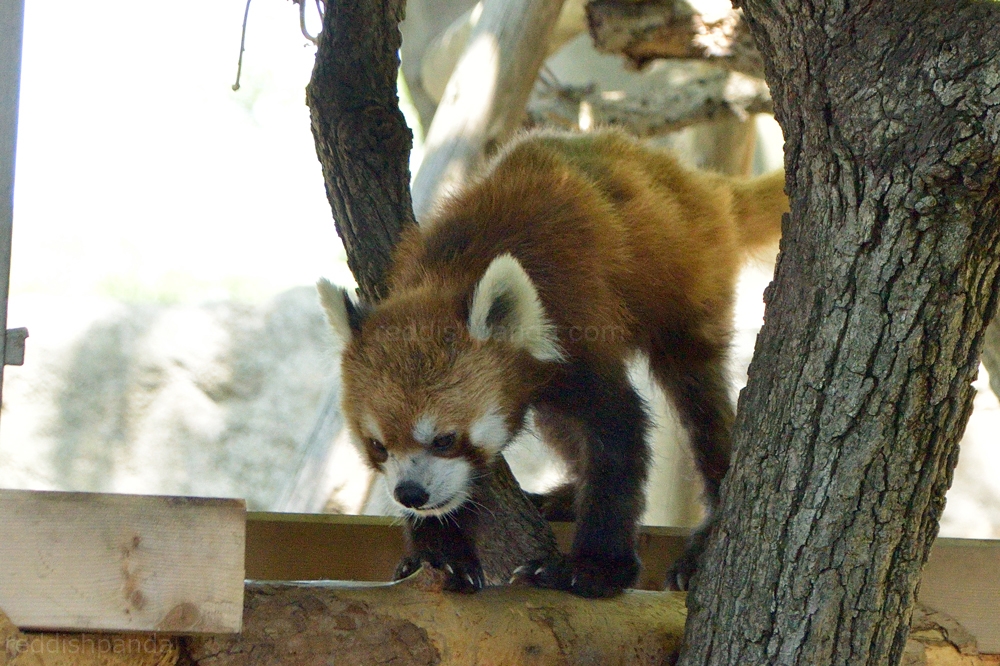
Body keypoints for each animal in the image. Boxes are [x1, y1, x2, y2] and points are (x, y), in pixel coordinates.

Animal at [320, 126, 788, 596]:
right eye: (377, 446)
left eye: (445, 439)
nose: (410, 493)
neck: (455, 268)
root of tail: (693, 180)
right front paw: (438, 553)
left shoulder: (577, 324)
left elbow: (616, 430)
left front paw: (594, 567)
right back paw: (563, 498)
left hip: (689, 287)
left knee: (700, 400)